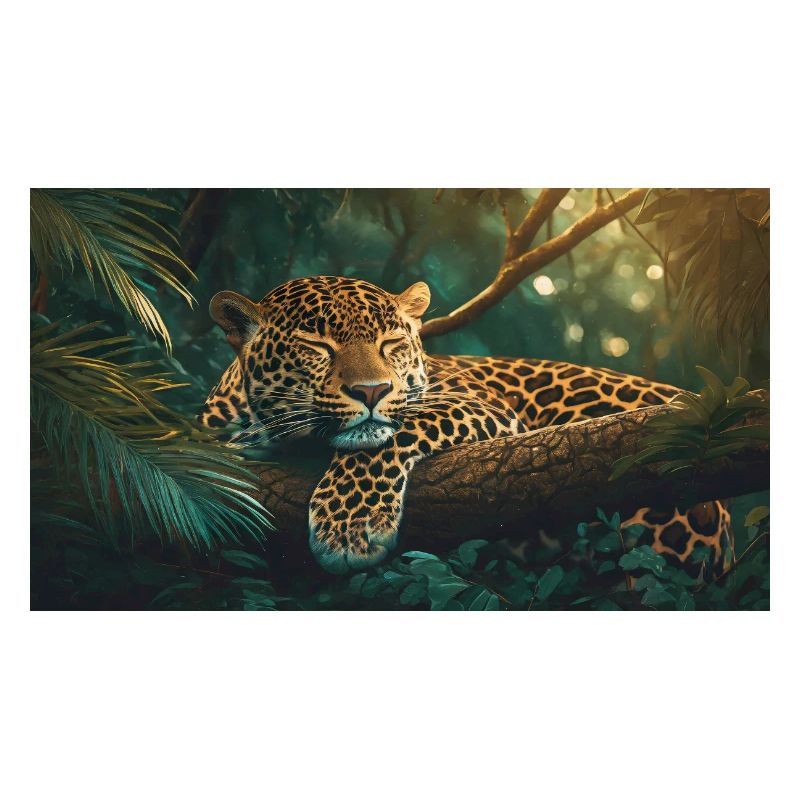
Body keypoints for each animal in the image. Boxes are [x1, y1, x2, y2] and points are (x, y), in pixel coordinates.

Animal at [198, 275, 732, 577]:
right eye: (316, 346)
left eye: (391, 342)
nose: (372, 391)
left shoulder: (479, 403)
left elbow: (387, 436)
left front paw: (350, 526)